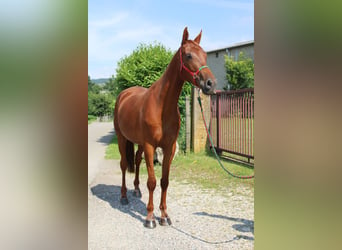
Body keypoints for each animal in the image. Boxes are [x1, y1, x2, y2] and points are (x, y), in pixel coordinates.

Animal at [115, 27, 216, 229]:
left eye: (205, 55)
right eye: (188, 55)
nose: (210, 84)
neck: (161, 106)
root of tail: (124, 94)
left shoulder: (169, 147)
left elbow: (164, 181)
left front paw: (164, 216)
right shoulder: (150, 146)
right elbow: (152, 182)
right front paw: (150, 218)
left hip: (139, 143)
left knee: (136, 161)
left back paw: (136, 190)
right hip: (123, 138)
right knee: (123, 165)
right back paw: (123, 197)